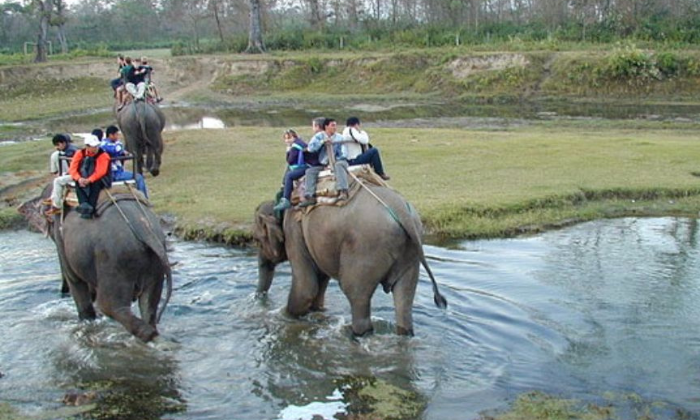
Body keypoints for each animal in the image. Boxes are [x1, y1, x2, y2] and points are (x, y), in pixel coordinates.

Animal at [18, 186, 172, 342]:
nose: (62, 293)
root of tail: (144, 229)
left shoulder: (61, 236)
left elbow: (75, 281)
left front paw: (87, 321)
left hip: (113, 261)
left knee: (110, 305)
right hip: (154, 263)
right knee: (149, 305)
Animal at [253, 182, 448, 336]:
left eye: (256, 240)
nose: (258, 298)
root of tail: (403, 213)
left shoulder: (294, 231)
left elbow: (306, 288)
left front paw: (283, 317)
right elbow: (319, 284)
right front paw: (316, 313)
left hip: (366, 248)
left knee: (355, 294)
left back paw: (355, 334)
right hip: (411, 254)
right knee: (404, 300)